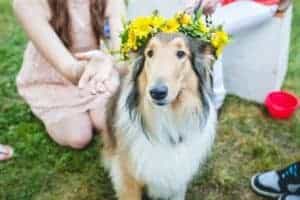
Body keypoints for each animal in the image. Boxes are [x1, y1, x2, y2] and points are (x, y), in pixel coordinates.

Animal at [102, 32, 217, 200]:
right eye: (150, 53)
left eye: (181, 53)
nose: (157, 92)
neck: (167, 119)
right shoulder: (128, 178)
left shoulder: (178, 181)